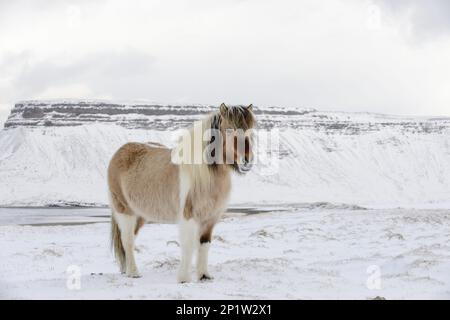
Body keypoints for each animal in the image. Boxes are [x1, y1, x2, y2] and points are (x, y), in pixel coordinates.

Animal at [107, 103, 255, 282]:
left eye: (251, 130)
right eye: (229, 129)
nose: (247, 161)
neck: (204, 177)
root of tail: (120, 152)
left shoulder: (210, 219)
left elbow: (204, 245)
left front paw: (204, 276)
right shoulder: (188, 216)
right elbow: (188, 245)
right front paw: (184, 278)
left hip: (140, 215)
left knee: (130, 240)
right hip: (125, 211)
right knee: (127, 240)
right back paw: (134, 273)